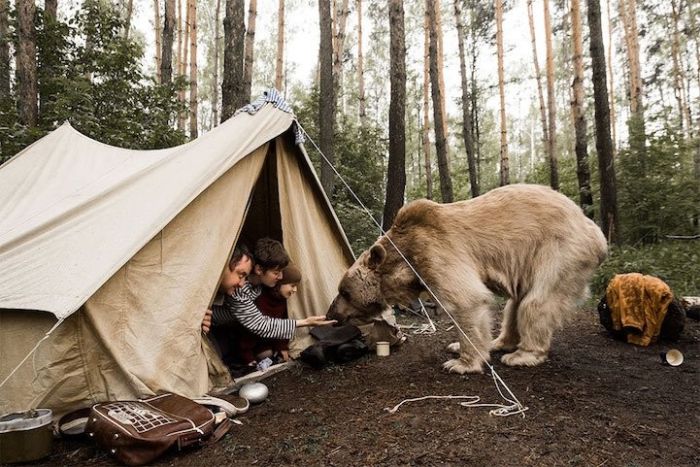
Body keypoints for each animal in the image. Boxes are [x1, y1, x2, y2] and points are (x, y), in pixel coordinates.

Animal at [328, 185, 608, 374]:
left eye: (344, 291)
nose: (332, 313)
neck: (405, 257)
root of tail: (596, 232)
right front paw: (456, 347)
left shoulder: (436, 251)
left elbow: (467, 300)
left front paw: (459, 363)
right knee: (515, 304)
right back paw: (498, 342)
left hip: (559, 252)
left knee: (536, 302)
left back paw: (522, 355)